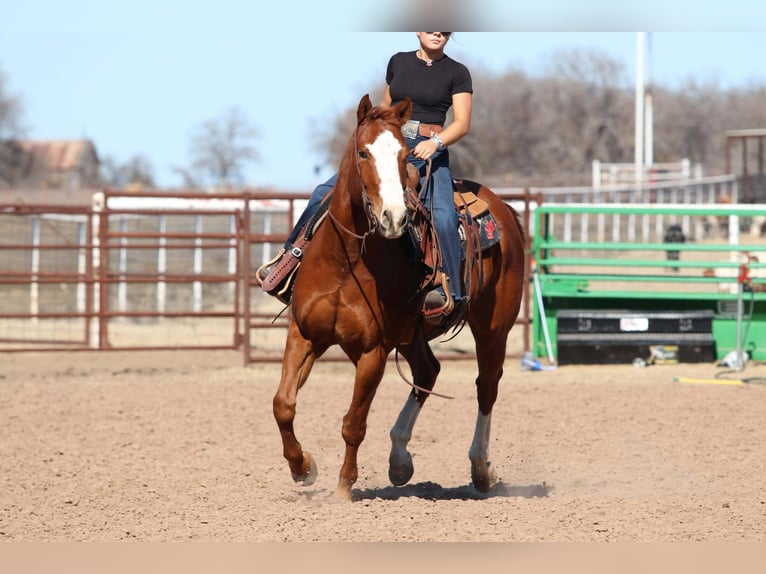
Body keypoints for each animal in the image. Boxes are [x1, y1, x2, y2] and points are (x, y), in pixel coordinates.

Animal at [272, 94, 526, 500]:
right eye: (362, 152)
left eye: (404, 156)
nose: (393, 217)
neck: (344, 260)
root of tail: (503, 210)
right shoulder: (304, 333)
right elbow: (283, 405)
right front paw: (303, 468)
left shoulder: (372, 350)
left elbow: (354, 423)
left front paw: (344, 487)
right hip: (411, 334)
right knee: (428, 371)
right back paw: (400, 460)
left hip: (493, 328)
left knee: (486, 387)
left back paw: (481, 469)